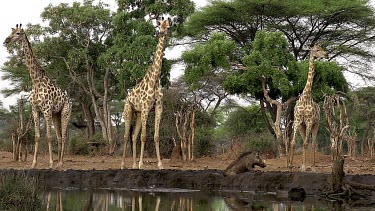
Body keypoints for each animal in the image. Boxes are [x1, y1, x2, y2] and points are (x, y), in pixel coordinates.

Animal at [3, 23, 72, 169]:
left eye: (18, 33)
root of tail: (70, 99)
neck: (36, 82)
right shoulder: (35, 110)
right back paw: (59, 162)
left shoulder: (46, 110)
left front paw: (50, 163)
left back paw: (60, 163)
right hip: (56, 115)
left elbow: (49, 137)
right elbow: (37, 136)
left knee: (63, 136)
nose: (6, 40)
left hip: (65, 112)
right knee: (59, 136)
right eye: (11, 32)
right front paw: (34, 163)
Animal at [121, 16, 173, 170]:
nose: (162, 33)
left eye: (168, 27)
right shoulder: (145, 108)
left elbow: (155, 136)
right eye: (160, 26)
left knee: (133, 136)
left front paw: (160, 164)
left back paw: (132, 164)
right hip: (129, 110)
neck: (154, 80)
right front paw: (141, 164)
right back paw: (123, 164)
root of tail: (127, 96)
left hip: (138, 114)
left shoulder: (158, 107)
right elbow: (144, 136)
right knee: (126, 136)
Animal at [290, 43, 328, 171]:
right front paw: (291, 165)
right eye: (317, 50)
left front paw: (304, 167)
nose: (327, 54)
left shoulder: (309, 121)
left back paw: (313, 166)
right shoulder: (297, 121)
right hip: (302, 126)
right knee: (305, 141)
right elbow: (293, 143)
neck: (306, 97)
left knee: (313, 143)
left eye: (321, 48)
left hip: (315, 124)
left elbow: (307, 143)